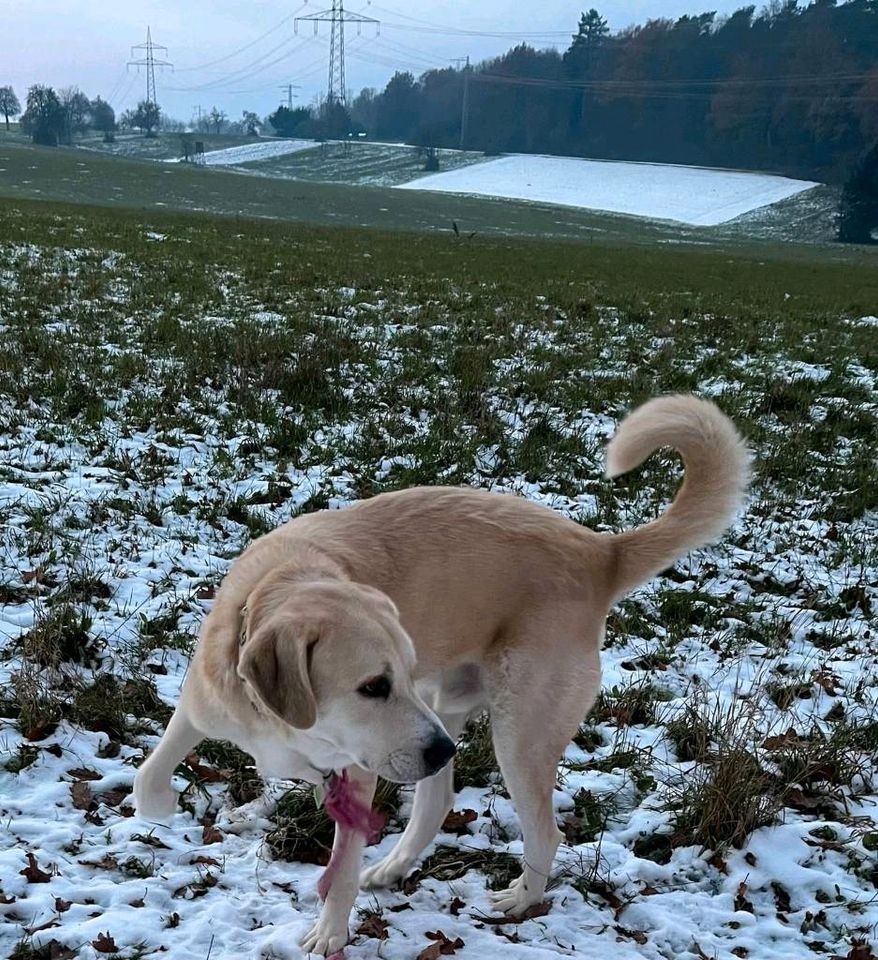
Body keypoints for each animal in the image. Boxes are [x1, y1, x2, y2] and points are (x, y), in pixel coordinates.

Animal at [136, 396, 748, 952]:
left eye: (401, 674)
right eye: (374, 686)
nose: (442, 750)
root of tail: (601, 552)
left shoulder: (359, 772)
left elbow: (341, 869)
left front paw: (329, 934)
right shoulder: (202, 706)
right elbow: (149, 772)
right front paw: (160, 806)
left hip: (511, 734)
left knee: (543, 830)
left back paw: (521, 897)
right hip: (442, 714)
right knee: (438, 800)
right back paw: (394, 864)